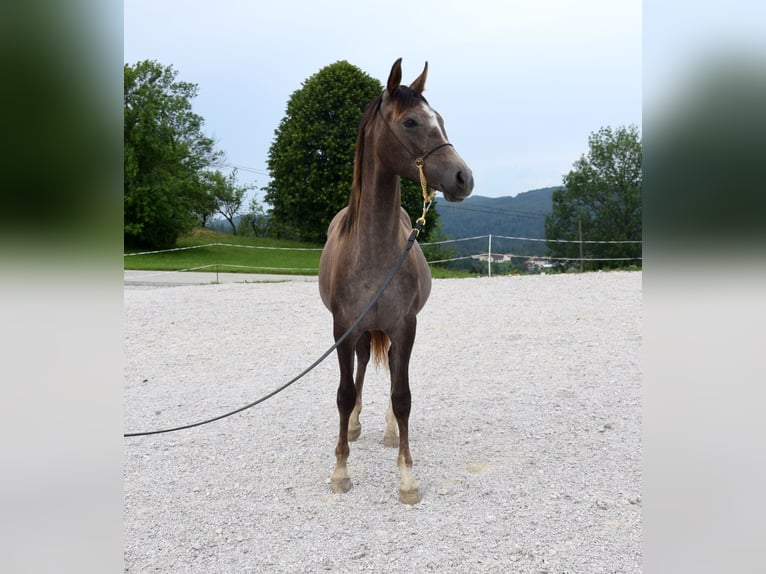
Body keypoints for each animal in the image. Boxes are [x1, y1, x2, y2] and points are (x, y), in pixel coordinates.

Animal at [318, 58, 474, 506]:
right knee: (362, 368)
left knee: (389, 374)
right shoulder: (342, 328)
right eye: (410, 121)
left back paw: (387, 430)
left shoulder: (405, 326)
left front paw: (406, 476)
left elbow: (402, 396)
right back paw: (355, 424)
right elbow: (343, 393)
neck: (372, 251)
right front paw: (340, 469)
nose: (464, 177)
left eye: (440, 120)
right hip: (360, 330)